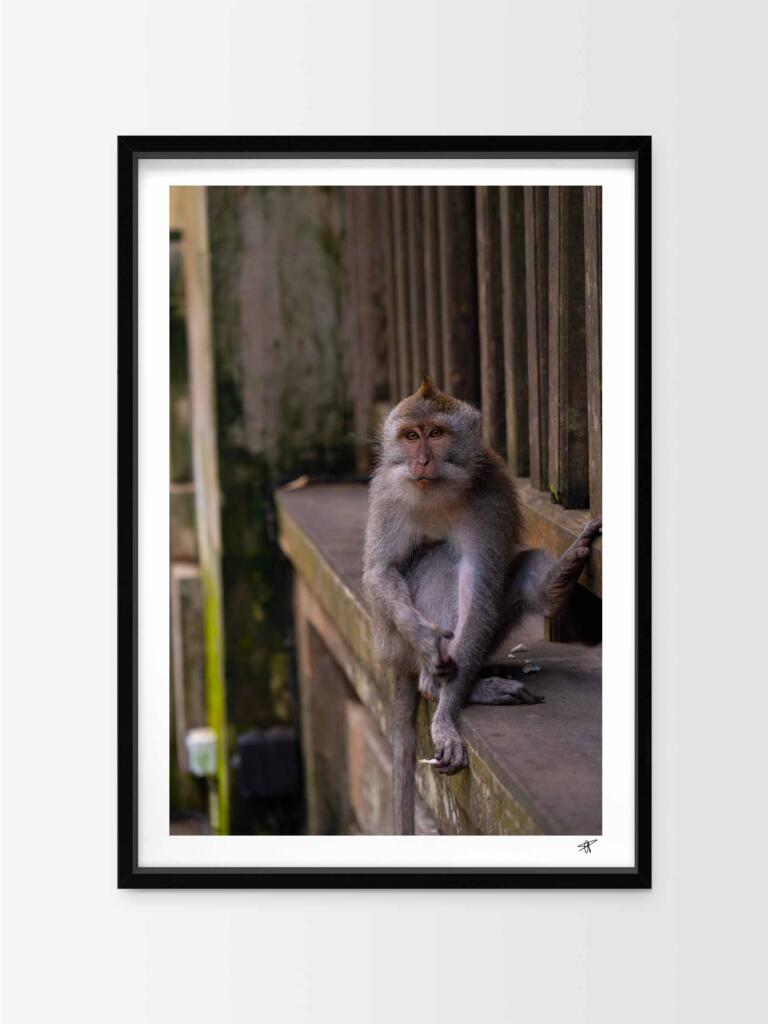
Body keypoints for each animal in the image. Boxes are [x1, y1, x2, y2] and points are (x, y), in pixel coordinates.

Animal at [362, 377, 602, 835]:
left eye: (436, 433)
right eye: (410, 436)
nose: (421, 461)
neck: (437, 490)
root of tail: (391, 657)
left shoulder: (491, 495)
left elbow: (480, 593)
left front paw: (444, 721)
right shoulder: (385, 493)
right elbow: (380, 572)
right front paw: (426, 640)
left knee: (510, 573)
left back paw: (554, 583)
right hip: (391, 641)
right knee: (439, 560)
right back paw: (439, 684)